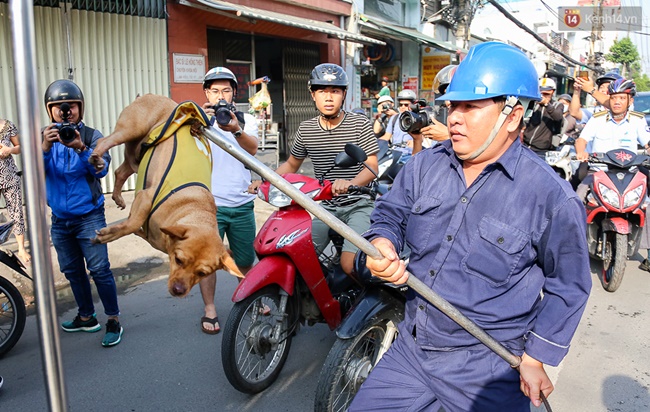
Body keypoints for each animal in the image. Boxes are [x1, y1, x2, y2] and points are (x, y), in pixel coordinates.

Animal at [90, 93, 242, 296]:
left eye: (202, 273)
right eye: (178, 260)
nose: (179, 290)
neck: (193, 209)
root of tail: (154, 95)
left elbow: (135, 226)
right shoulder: (145, 197)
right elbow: (133, 223)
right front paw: (107, 235)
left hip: (136, 157)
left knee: (120, 172)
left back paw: (117, 196)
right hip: (130, 129)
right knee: (104, 142)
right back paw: (97, 158)